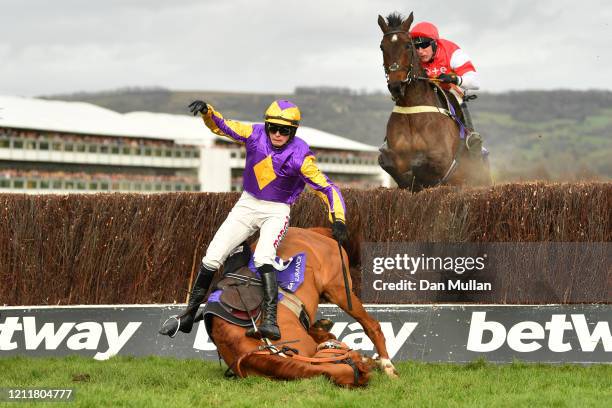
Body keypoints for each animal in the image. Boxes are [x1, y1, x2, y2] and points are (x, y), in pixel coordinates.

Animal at [378, 12, 492, 191]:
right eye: (382, 47)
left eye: (408, 45)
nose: (396, 86)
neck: (412, 108)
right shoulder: (392, 155)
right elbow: (387, 162)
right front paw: (409, 180)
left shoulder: (443, 160)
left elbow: (419, 163)